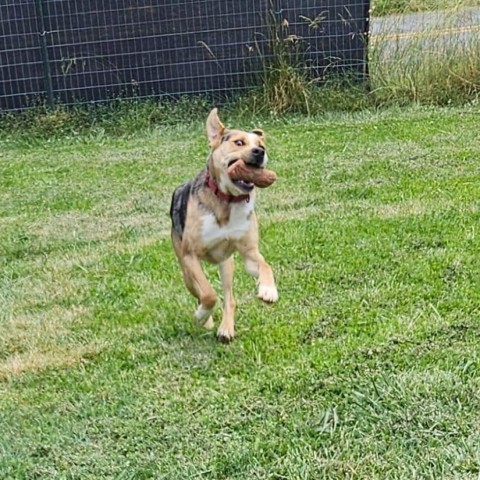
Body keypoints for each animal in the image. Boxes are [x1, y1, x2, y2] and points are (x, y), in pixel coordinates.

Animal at [171, 109, 280, 342]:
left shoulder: (248, 252)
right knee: (200, 292)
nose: (260, 152)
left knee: (229, 297)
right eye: (239, 142)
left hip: (226, 264)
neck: (227, 201)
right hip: (185, 271)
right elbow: (208, 294)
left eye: (262, 145)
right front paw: (202, 316)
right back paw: (206, 319)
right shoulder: (190, 255)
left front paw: (268, 290)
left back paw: (226, 329)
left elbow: (265, 264)